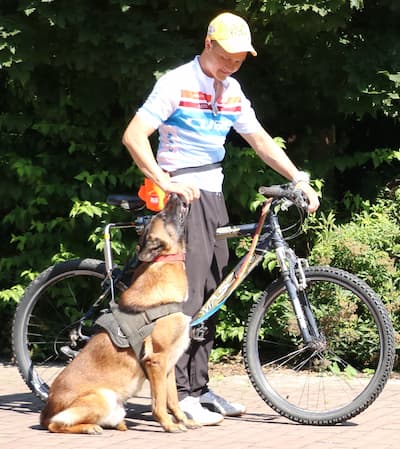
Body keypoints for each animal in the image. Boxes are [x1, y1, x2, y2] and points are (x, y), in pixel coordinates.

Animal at [39, 194, 199, 432]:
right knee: (55, 426)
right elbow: (159, 403)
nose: (175, 194)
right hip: (100, 397)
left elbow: (173, 400)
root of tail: (45, 412)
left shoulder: (168, 365)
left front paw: (184, 421)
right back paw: (89, 428)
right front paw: (168, 425)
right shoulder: (157, 361)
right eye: (162, 216)